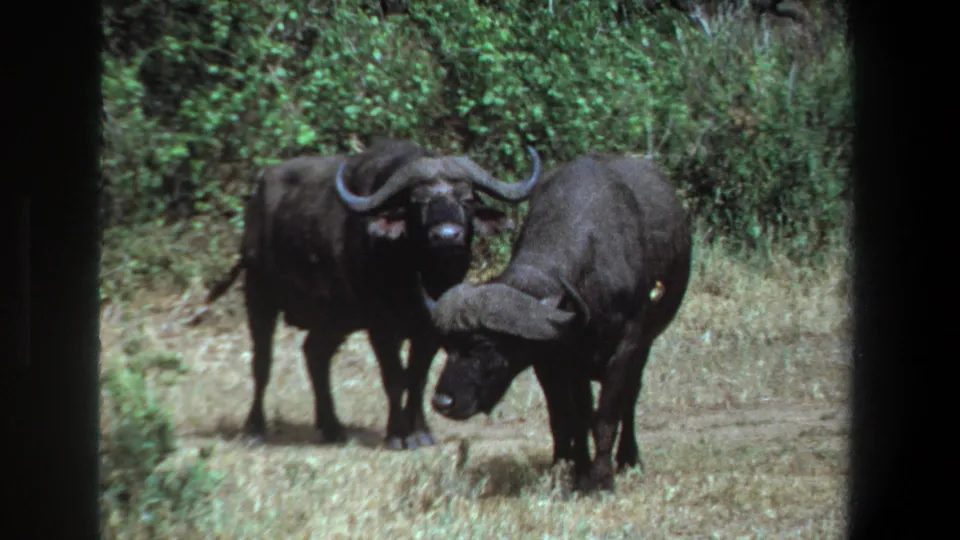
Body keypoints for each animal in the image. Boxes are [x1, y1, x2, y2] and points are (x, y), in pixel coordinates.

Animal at [202, 138, 543, 450]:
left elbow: (418, 377)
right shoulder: (380, 326)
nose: (447, 235)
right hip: (259, 294)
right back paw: (254, 429)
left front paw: (420, 431)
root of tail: (257, 196)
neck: (417, 273)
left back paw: (332, 427)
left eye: (467, 199)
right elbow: (394, 377)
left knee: (315, 354)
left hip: (334, 318)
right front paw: (397, 435)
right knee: (262, 362)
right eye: (417, 202)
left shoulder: (430, 329)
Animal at [420, 153, 692, 491]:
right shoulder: (552, 360)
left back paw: (629, 459)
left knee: (630, 398)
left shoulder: (626, 348)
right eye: (447, 346)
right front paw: (573, 470)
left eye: (483, 347)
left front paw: (601, 479)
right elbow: (569, 418)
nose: (442, 401)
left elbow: (606, 416)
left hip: (645, 345)